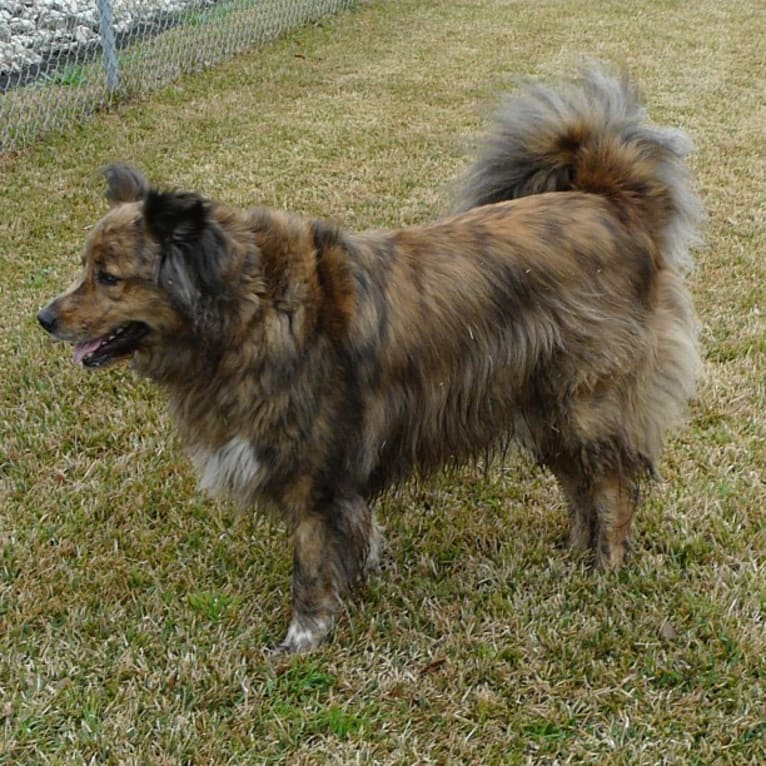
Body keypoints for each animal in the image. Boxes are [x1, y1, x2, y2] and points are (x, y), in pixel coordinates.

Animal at [39, 67, 704, 656]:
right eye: (84, 267)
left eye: (107, 277)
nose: (44, 318)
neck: (247, 310)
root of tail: (610, 202)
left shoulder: (314, 478)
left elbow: (311, 565)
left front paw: (303, 637)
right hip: (544, 407)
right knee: (578, 484)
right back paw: (574, 554)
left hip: (586, 402)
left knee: (612, 486)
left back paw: (607, 568)